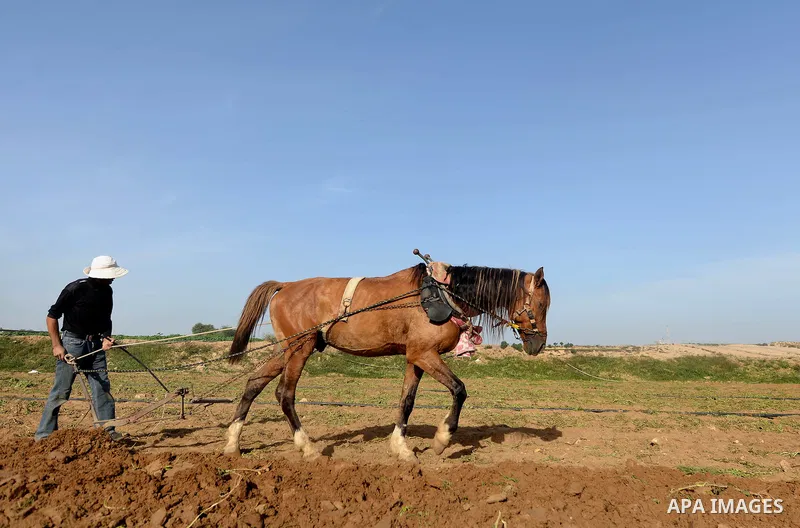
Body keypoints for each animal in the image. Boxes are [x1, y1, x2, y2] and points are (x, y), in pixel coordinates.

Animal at [221, 259, 550, 462]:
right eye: (541, 303)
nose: (538, 344)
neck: (441, 296)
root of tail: (285, 285)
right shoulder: (424, 354)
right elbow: (459, 390)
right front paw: (442, 438)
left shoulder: (415, 357)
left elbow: (407, 401)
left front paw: (401, 448)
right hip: (299, 349)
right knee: (284, 394)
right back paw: (308, 447)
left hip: (286, 350)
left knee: (254, 383)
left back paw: (232, 443)